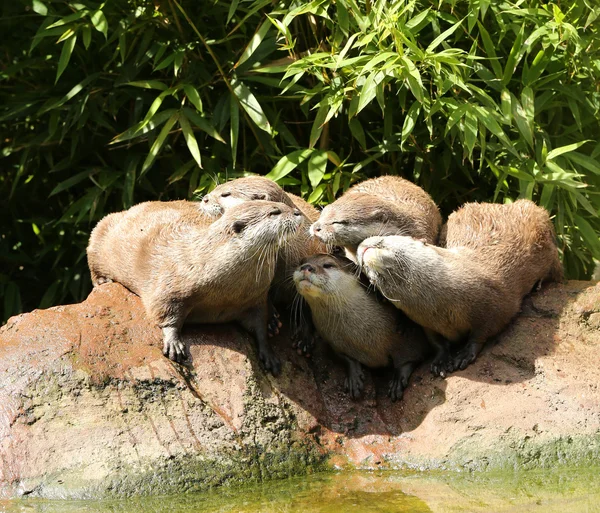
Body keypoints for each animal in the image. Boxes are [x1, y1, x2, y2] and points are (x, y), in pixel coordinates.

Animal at [86, 198, 302, 374]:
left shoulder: (255, 297)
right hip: (103, 227)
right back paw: (103, 281)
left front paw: (268, 353)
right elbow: (164, 310)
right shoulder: (170, 284)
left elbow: (259, 323)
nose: (297, 212)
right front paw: (173, 342)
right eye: (274, 212)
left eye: (283, 204)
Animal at [292, 252, 428, 400]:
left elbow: (409, 358)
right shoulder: (334, 342)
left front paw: (398, 380)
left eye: (328, 265)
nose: (306, 267)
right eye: (301, 262)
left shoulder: (407, 339)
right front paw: (354, 376)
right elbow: (346, 357)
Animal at [358, 198, 564, 374]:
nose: (362, 248)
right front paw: (441, 361)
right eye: (371, 274)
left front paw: (464, 355)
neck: (445, 303)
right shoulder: (426, 323)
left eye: (383, 241)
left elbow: (484, 331)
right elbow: (436, 342)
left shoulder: (497, 304)